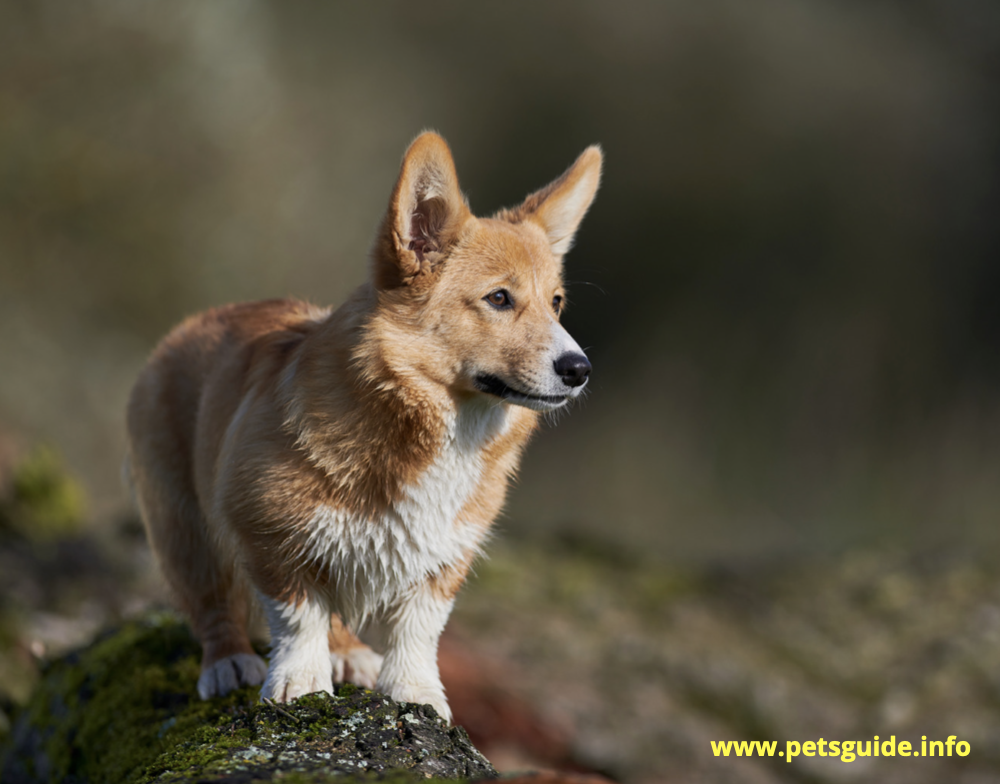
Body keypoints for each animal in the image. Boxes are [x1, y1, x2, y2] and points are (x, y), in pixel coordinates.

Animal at [125, 130, 600, 724]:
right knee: (210, 599)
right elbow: (299, 616)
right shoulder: (270, 535)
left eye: (556, 303)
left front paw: (416, 694)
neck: (431, 423)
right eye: (498, 298)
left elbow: (419, 631)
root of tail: (196, 321)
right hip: (181, 523)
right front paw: (301, 684)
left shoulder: (445, 555)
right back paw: (229, 662)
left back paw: (350, 655)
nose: (580, 369)